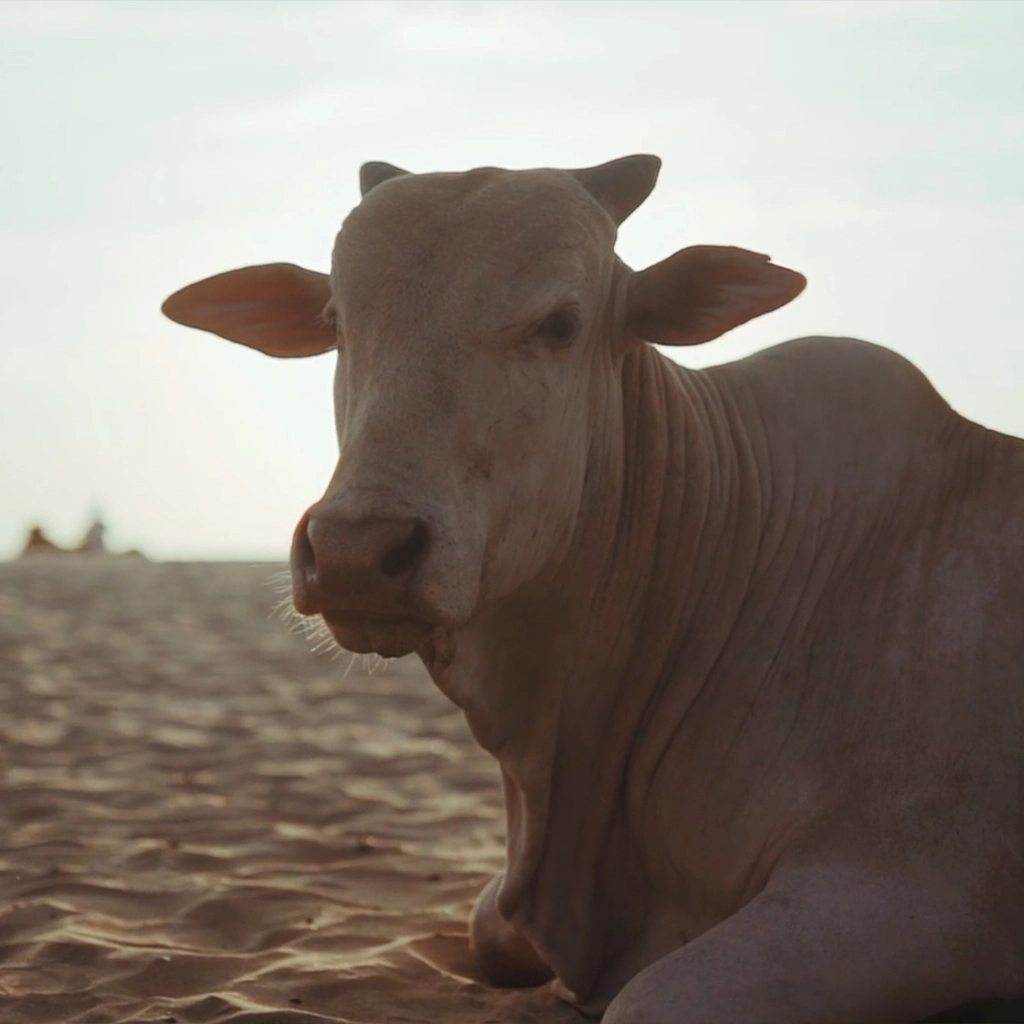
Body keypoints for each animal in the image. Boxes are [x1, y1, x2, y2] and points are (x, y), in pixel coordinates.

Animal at [161, 155, 1024, 1023]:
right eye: (336, 322)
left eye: (559, 324)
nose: (355, 553)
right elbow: (489, 926)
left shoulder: (911, 892)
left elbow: (644, 998)